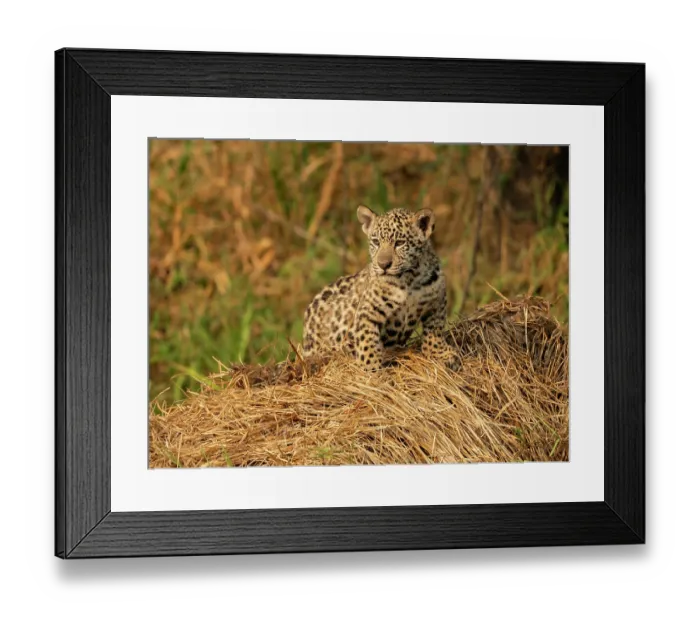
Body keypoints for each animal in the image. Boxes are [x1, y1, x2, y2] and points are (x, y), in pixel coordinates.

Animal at [302, 205, 460, 372]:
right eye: (376, 242)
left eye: (400, 243)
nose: (383, 264)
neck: (409, 279)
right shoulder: (367, 311)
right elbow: (367, 341)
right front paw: (371, 370)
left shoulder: (437, 301)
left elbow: (435, 329)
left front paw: (440, 354)